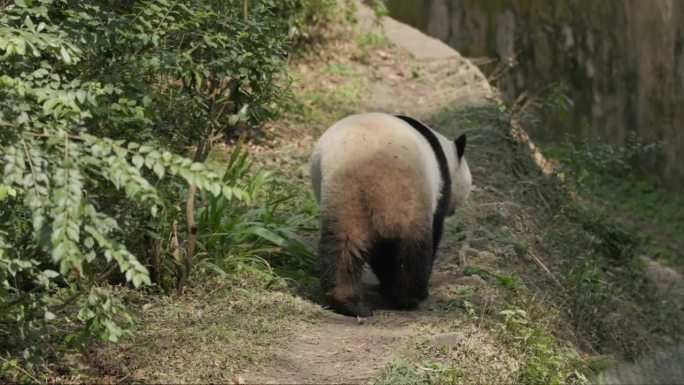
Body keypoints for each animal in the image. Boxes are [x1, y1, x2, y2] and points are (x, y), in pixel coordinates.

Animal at [308, 111, 470, 316]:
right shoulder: (441, 188)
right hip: (413, 197)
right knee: (413, 248)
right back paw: (409, 296)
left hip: (345, 196)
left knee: (343, 244)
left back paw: (348, 302)